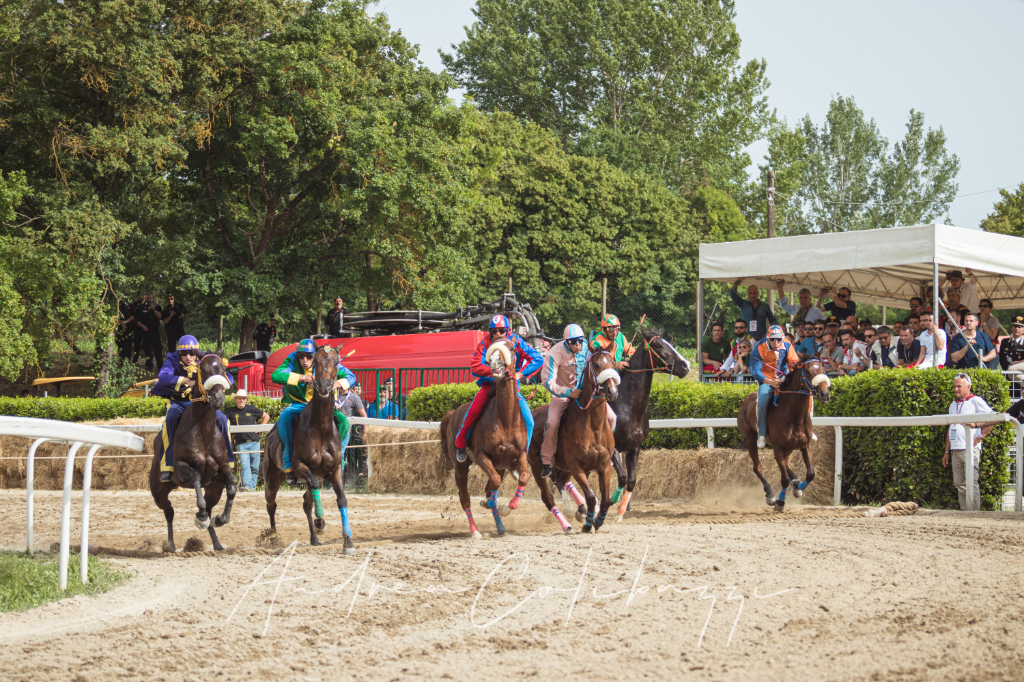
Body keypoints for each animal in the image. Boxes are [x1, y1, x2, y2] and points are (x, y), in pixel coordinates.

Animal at [149, 352, 235, 548]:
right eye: (203, 370)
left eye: (223, 369)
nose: (218, 398)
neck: (203, 430)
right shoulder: (182, 468)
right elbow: (196, 479)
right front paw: (200, 517)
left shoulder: (222, 470)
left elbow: (232, 489)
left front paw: (221, 518)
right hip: (158, 490)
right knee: (169, 510)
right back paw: (171, 544)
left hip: (214, 488)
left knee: (209, 508)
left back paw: (217, 543)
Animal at [262, 346, 354, 552]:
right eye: (315, 362)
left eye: (336, 362)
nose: (325, 386)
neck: (320, 427)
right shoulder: (299, 466)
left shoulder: (334, 469)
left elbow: (342, 499)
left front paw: (348, 541)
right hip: (272, 478)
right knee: (271, 505)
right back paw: (273, 537)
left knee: (307, 501)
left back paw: (315, 534)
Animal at [440, 339, 532, 536]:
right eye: (492, 348)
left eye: (511, 347)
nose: (495, 363)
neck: (505, 419)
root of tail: (453, 413)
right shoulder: (482, 456)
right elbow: (493, 485)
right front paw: (494, 505)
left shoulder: (519, 455)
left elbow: (523, 477)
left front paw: (506, 507)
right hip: (461, 467)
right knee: (465, 497)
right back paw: (475, 531)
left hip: (501, 466)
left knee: (490, 490)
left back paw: (500, 526)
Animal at [606, 327, 688, 518]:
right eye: (658, 345)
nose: (686, 365)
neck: (627, 407)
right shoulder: (612, 447)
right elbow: (622, 477)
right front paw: (612, 500)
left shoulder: (634, 448)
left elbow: (631, 480)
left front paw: (621, 509)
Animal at [741, 356, 827, 509]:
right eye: (808, 371)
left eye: (823, 368)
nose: (825, 394)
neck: (795, 416)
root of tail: (746, 400)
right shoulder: (778, 446)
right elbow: (784, 479)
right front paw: (780, 501)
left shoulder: (805, 444)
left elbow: (811, 473)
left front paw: (799, 488)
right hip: (750, 438)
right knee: (758, 467)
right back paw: (770, 493)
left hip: (789, 446)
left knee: (785, 463)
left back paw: (796, 482)